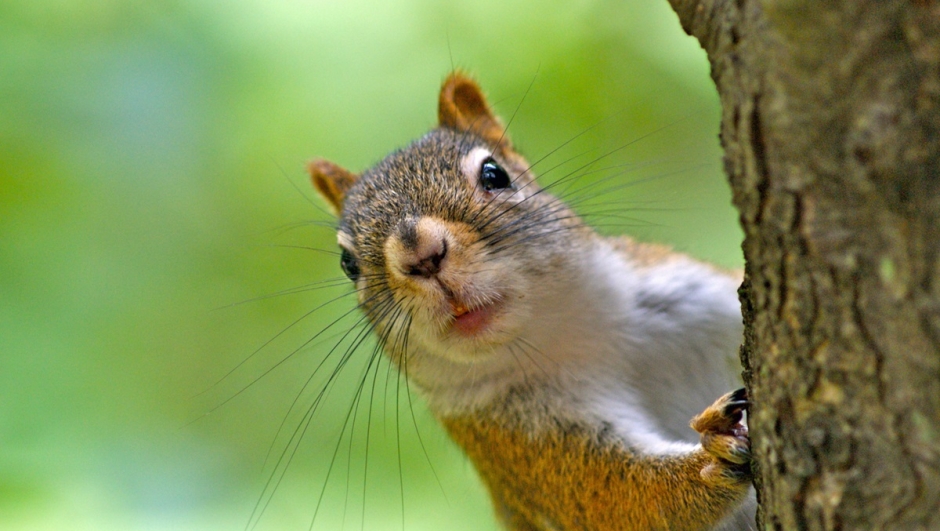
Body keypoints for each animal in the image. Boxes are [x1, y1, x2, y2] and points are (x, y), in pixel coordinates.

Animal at [308, 74, 756, 531]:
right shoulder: (519, 440)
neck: (569, 335)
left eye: (494, 174)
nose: (421, 255)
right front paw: (711, 457)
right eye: (348, 262)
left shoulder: (692, 294)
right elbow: (622, 498)